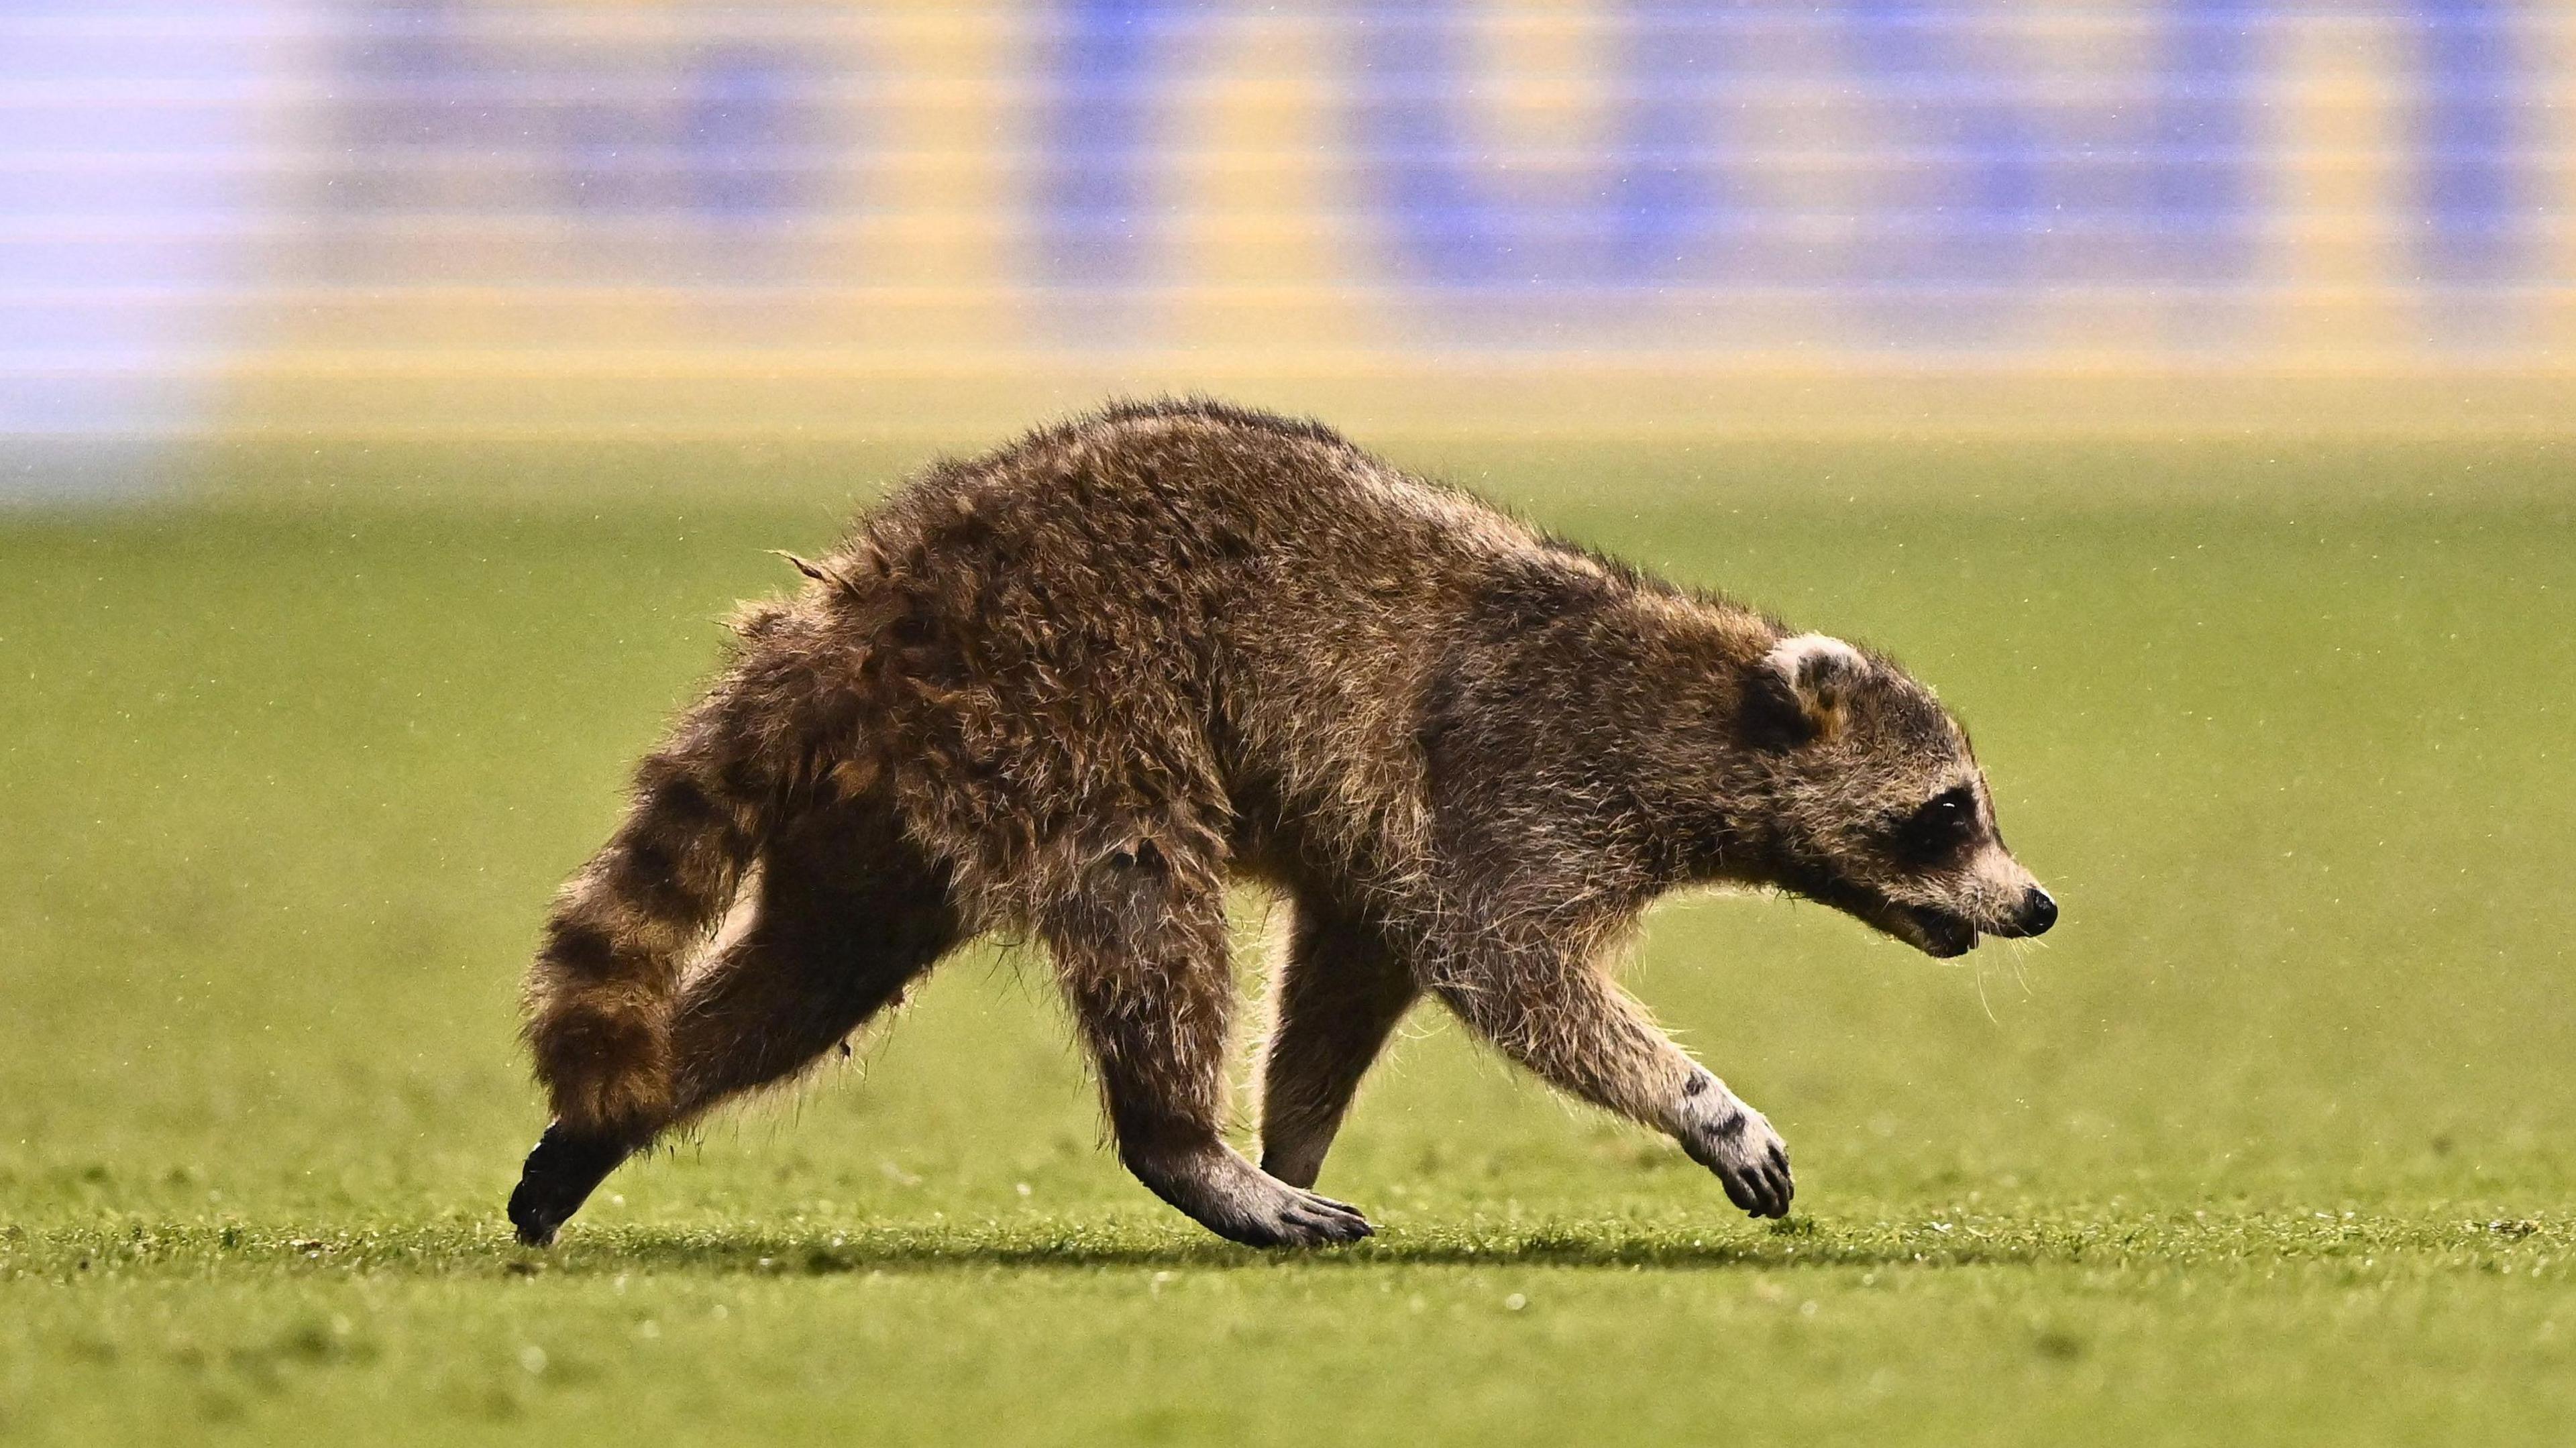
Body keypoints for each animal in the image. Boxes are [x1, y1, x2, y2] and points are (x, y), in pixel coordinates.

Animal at [513, 394, 2061, 1241]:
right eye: (1945, 815)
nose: (2036, 900)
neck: (1701, 697)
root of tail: (867, 597)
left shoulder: (1386, 852)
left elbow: (1349, 976)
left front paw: (1292, 1134)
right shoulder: (1522, 785)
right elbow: (1505, 970)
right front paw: (1700, 1099)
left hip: (889, 801)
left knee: (811, 970)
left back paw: (626, 1108)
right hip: (1063, 704)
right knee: (1147, 902)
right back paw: (1181, 1141)